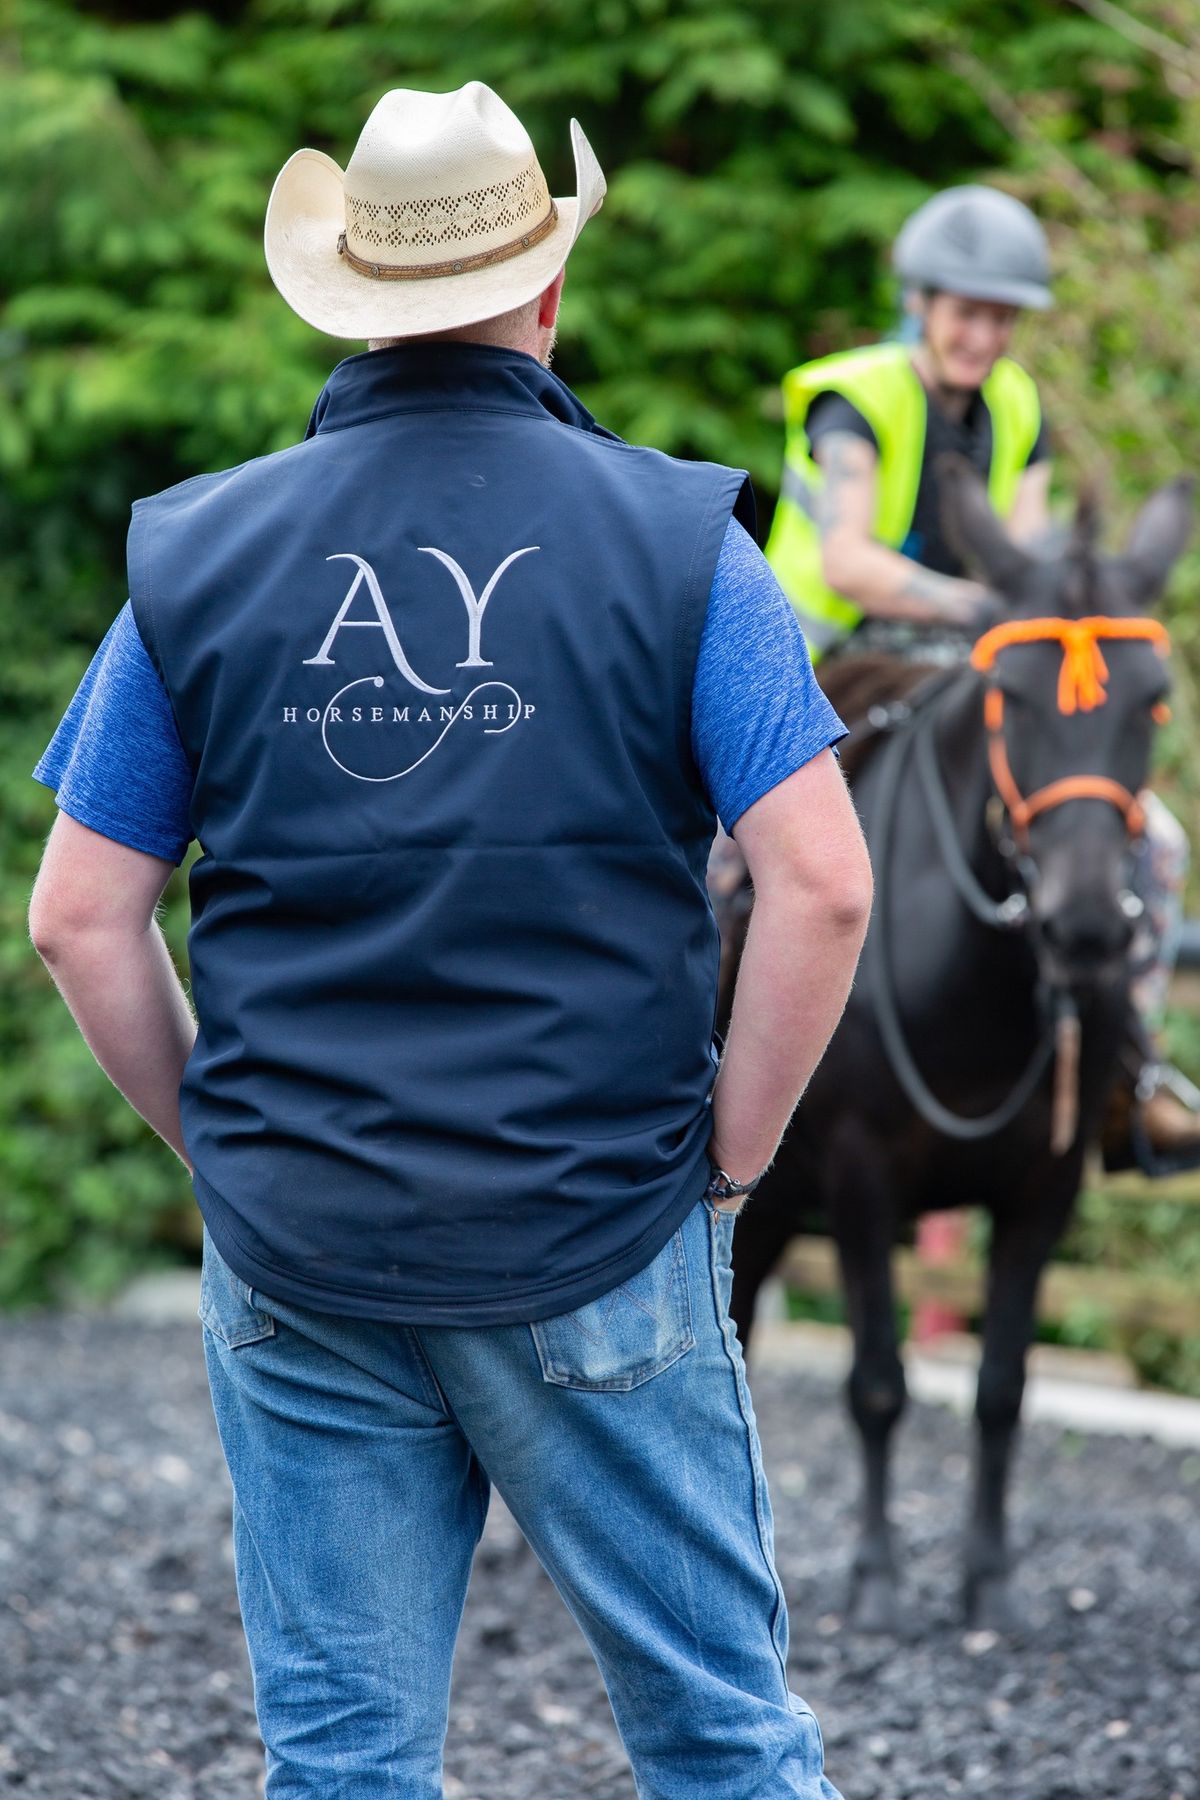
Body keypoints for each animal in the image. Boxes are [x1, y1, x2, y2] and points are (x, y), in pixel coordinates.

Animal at [726, 460, 1194, 1634]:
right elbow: (880, 1382)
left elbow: (1001, 1389)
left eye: (1153, 701)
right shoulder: (860, 1177)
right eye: (1010, 699)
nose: (1086, 929)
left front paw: (988, 1579)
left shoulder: (1046, 1190)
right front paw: (879, 1577)